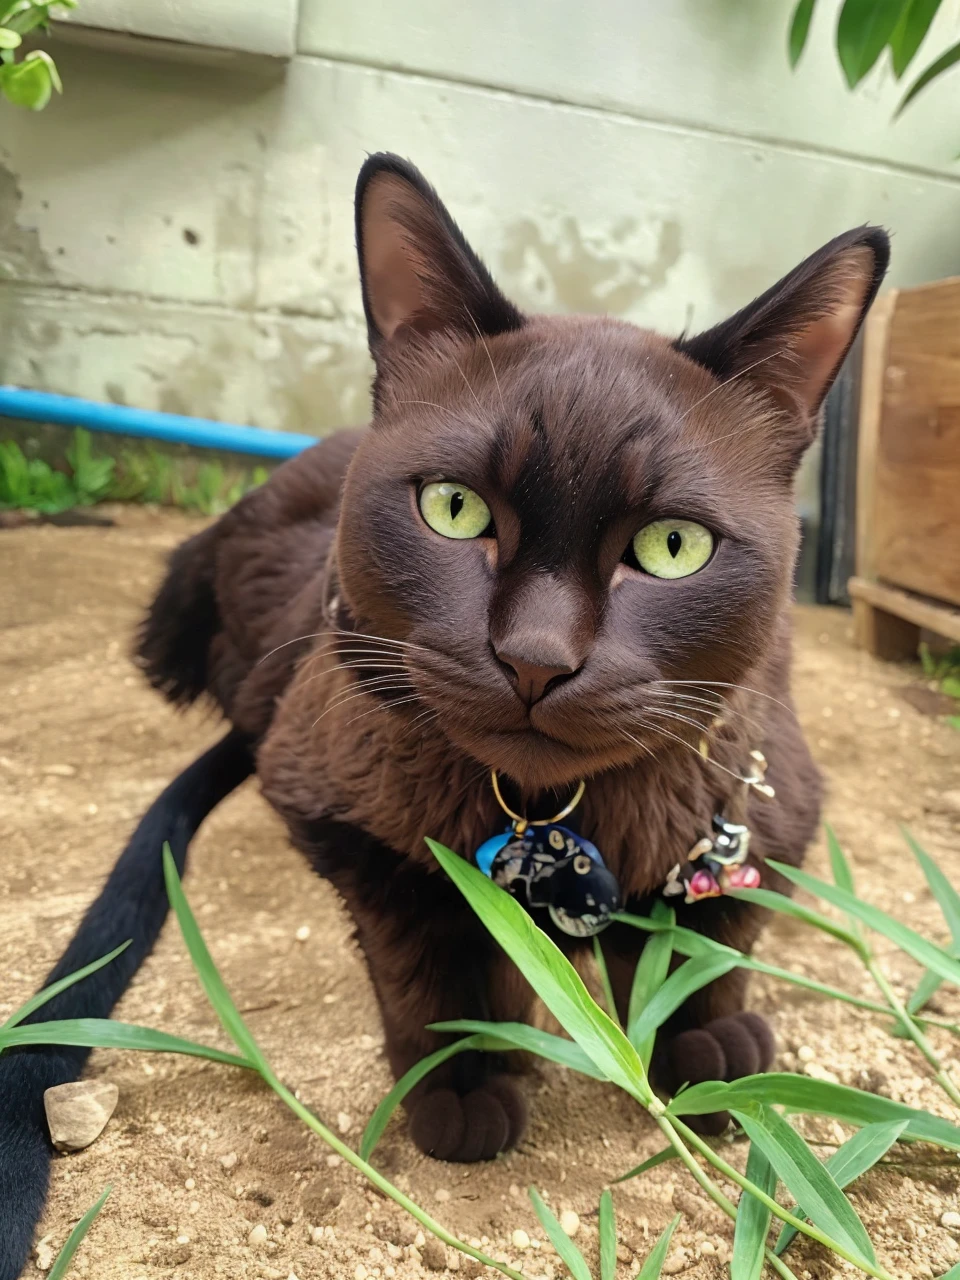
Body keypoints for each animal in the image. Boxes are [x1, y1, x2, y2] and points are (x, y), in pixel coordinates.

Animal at [0, 152, 885, 1280]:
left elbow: (709, 929)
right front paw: (465, 1078)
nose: (536, 657)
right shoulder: (336, 801)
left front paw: (704, 1045)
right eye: (454, 509)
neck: (558, 813)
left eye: (673, 546)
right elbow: (436, 927)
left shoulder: (760, 789)